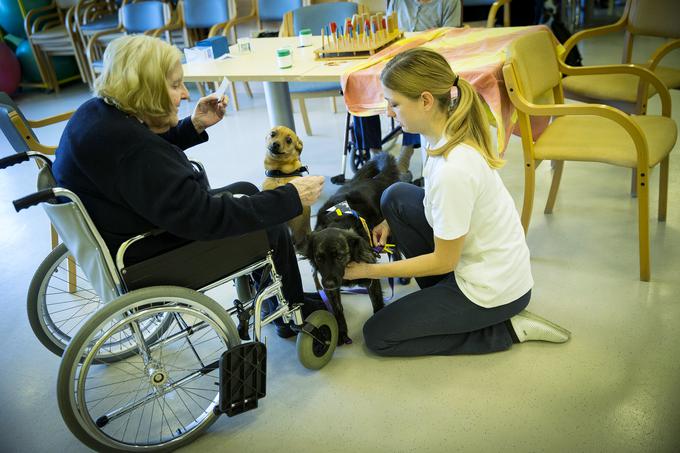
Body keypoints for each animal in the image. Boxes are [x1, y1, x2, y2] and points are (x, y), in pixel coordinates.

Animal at [304, 152, 398, 342]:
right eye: (319, 258)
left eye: (339, 256)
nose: (329, 283)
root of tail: (375, 179)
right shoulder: (331, 289)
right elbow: (337, 311)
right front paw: (341, 334)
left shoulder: (370, 277)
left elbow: (377, 303)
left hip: (387, 230)